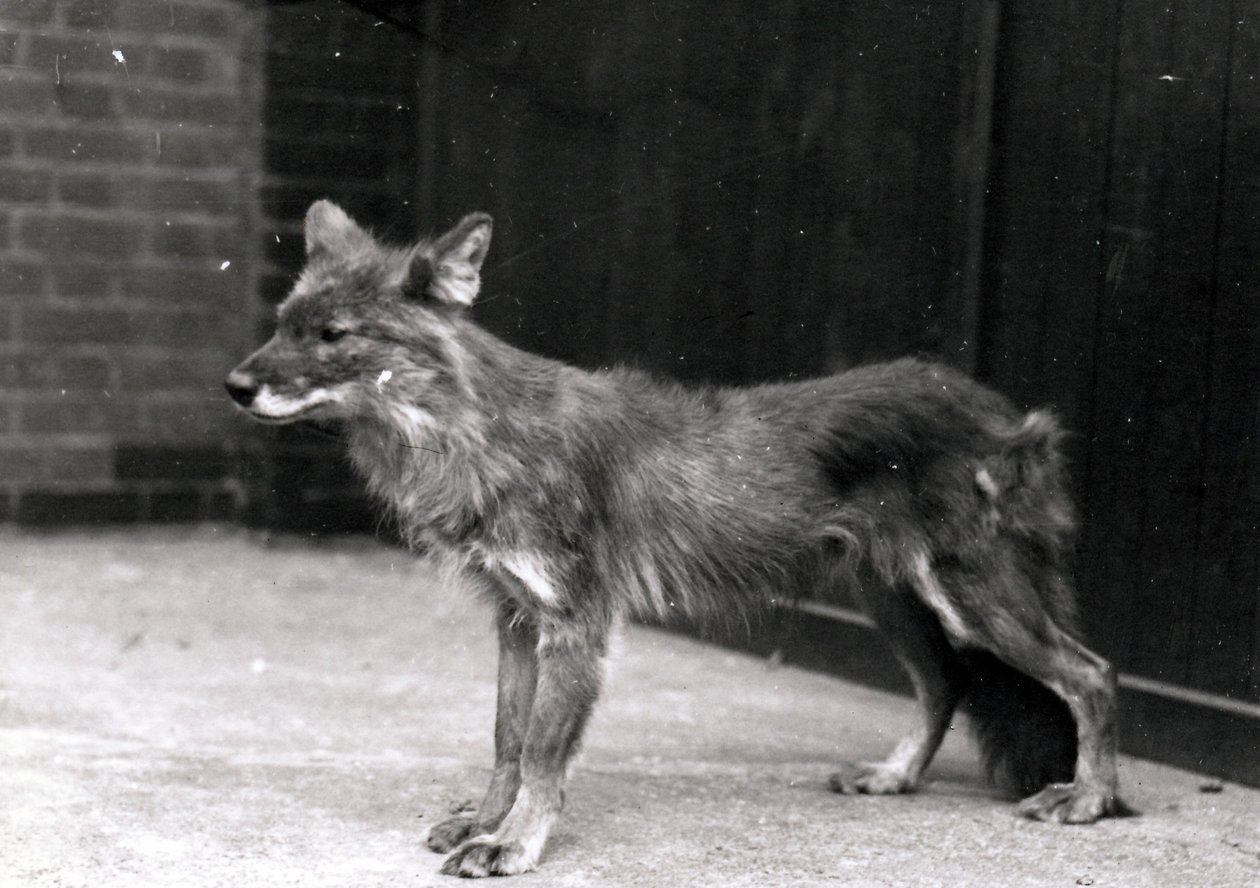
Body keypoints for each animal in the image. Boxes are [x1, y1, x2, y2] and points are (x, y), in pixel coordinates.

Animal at [229, 202, 1134, 881]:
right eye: (281, 325)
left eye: (334, 335)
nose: (235, 385)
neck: (478, 434)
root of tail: (1006, 410)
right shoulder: (516, 620)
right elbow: (506, 742)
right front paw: (483, 822)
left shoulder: (577, 628)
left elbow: (544, 755)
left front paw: (513, 844)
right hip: (894, 601)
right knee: (945, 684)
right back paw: (895, 775)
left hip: (975, 596)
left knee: (1091, 674)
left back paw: (1087, 799)